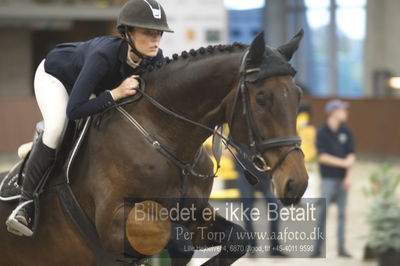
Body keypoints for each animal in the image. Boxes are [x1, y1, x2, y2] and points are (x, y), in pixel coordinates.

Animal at [0, 30, 308, 264]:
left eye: (297, 96)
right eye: (262, 99)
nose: (297, 183)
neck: (165, 137)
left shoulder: (197, 214)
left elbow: (236, 238)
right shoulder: (113, 224)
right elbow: (179, 242)